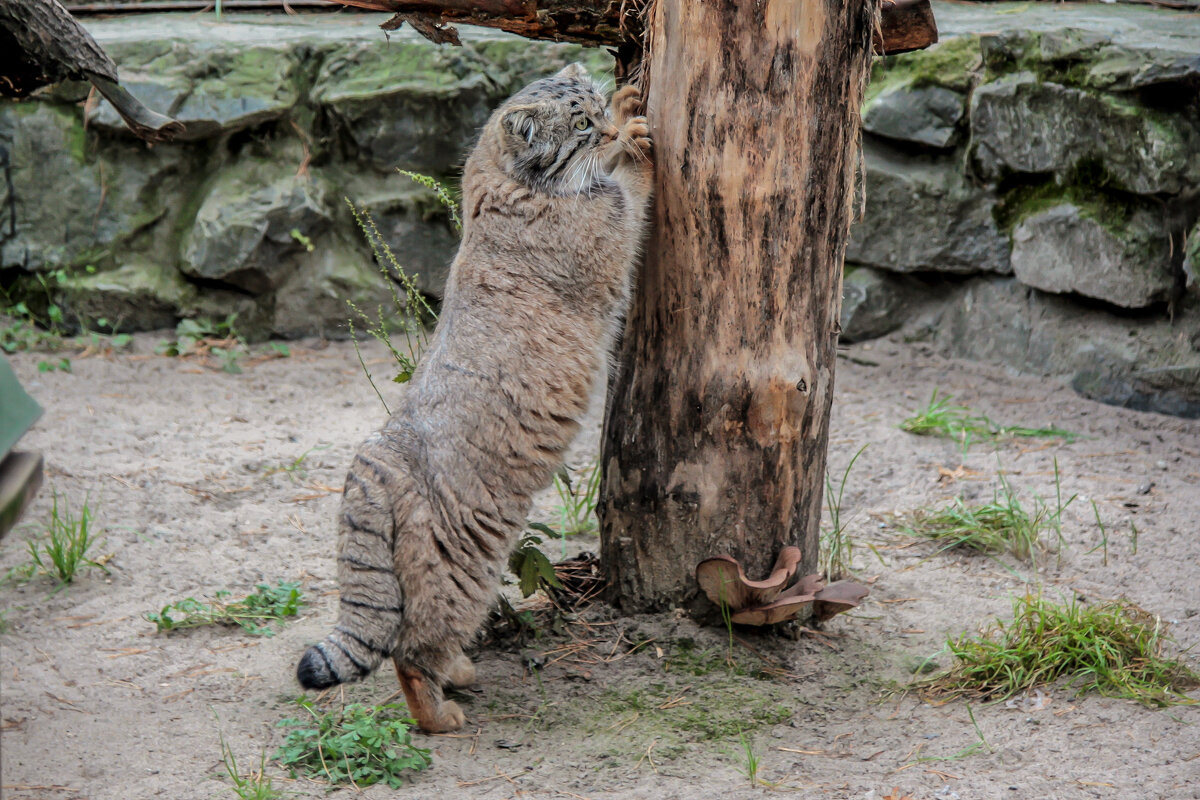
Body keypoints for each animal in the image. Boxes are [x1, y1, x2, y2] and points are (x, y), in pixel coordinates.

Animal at [295, 65, 652, 734]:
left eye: (592, 113)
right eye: (581, 126)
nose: (606, 124)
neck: (499, 175)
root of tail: (371, 467)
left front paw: (626, 110)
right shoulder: (612, 227)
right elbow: (629, 189)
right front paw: (634, 142)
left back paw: (457, 672)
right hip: (463, 573)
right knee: (409, 652)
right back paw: (439, 712)